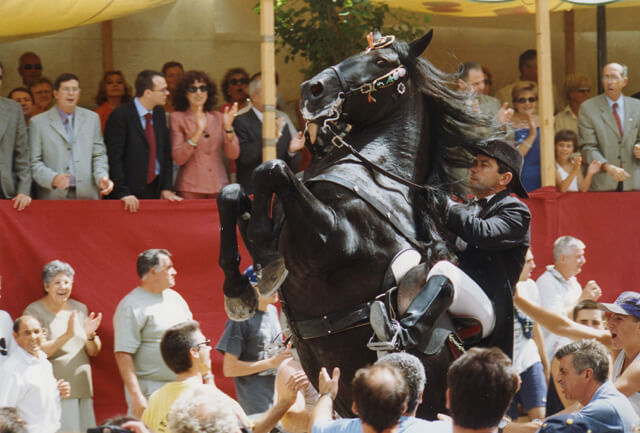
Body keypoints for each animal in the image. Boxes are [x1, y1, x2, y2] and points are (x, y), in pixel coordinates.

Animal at [218, 31, 492, 418]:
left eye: (381, 61)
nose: (312, 89)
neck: (378, 171)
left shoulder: (331, 240)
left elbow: (273, 170)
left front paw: (266, 268)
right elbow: (233, 192)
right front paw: (238, 289)